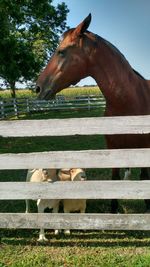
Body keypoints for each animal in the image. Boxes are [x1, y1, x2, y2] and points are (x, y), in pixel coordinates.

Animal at [36, 14, 150, 214]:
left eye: (61, 51)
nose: (38, 87)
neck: (129, 102)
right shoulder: (113, 147)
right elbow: (115, 180)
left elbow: (144, 177)